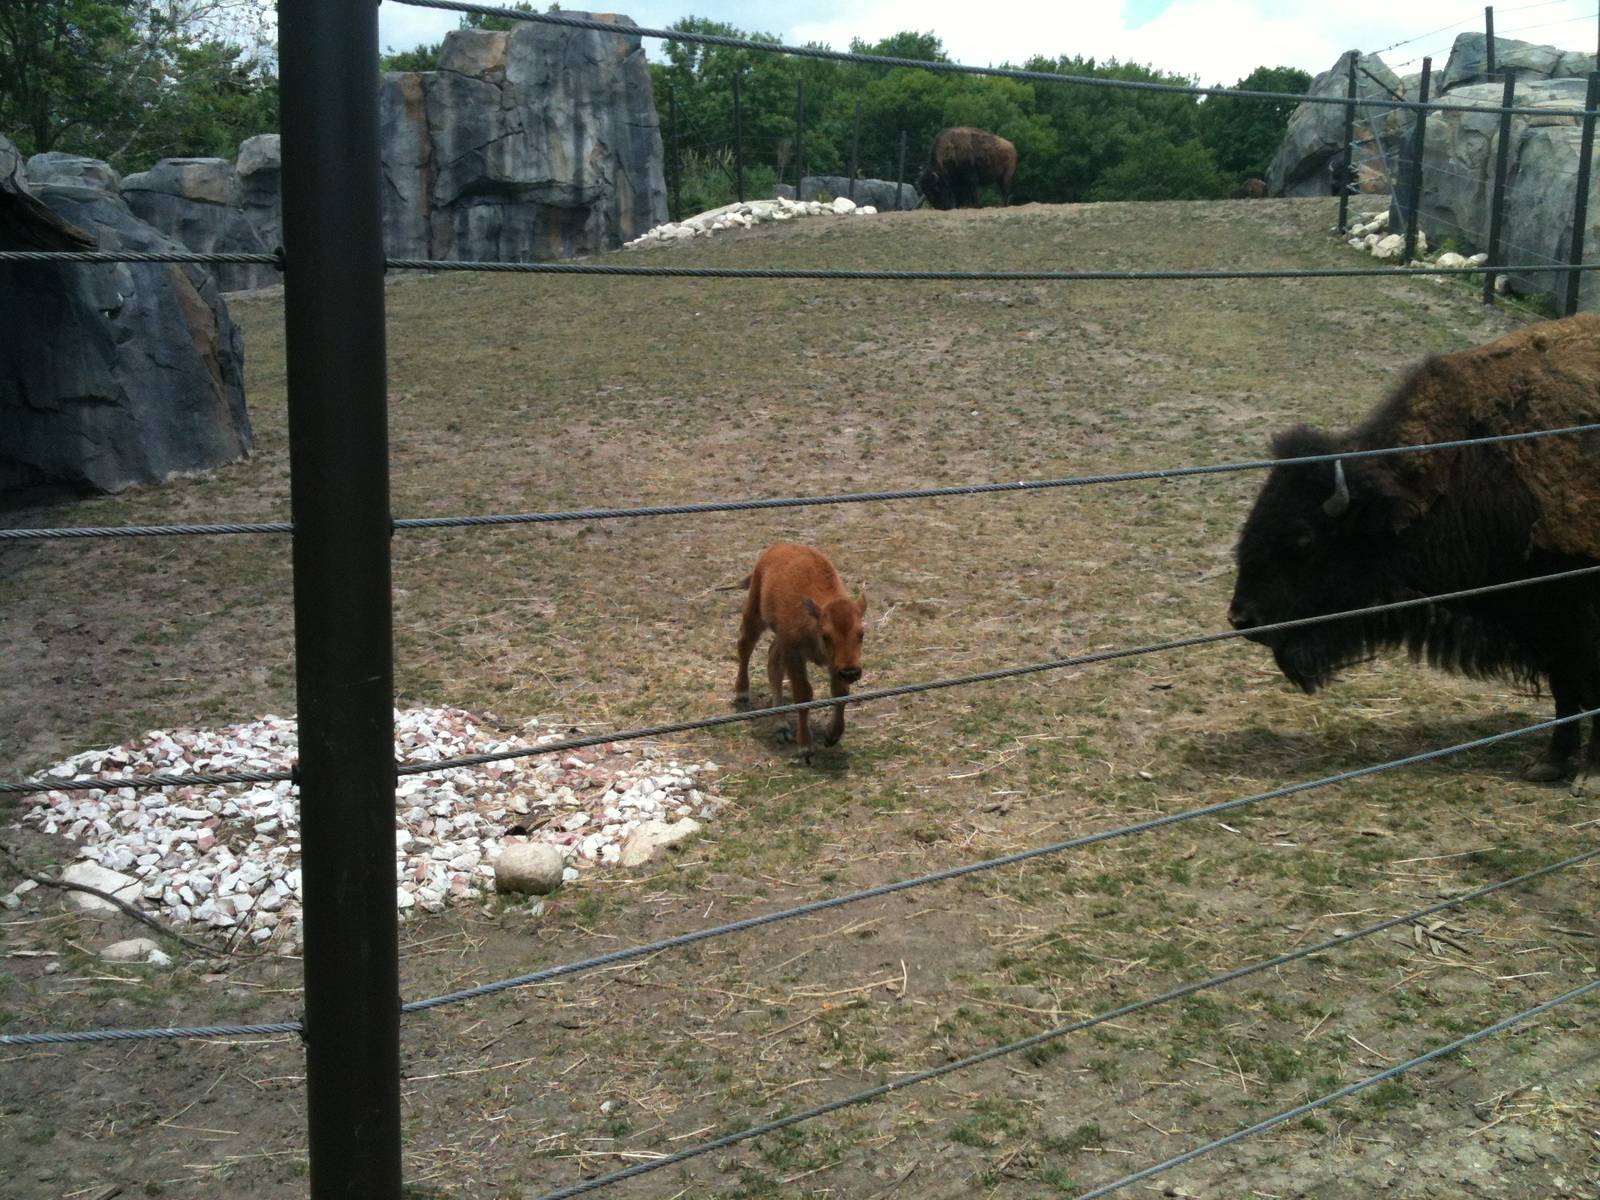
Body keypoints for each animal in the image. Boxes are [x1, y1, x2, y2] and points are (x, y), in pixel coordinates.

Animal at [733, 543, 868, 763]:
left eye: (861, 633)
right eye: (825, 635)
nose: (851, 672)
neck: (814, 620)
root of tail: (778, 547)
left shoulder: (834, 664)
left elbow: (840, 692)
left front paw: (832, 736)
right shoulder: (795, 655)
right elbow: (803, 694)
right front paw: (805, 747)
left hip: (779, 638)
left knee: (773, 662)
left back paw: (781, 726)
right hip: (755, 615)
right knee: (745, 646)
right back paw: (742, 695)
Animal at [1228, 314, 1600, 790]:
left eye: (1303, 540)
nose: (1242, 619)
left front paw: (1589, 775)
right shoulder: (1546, 622)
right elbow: (1563, 688)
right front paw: (1549, 763)